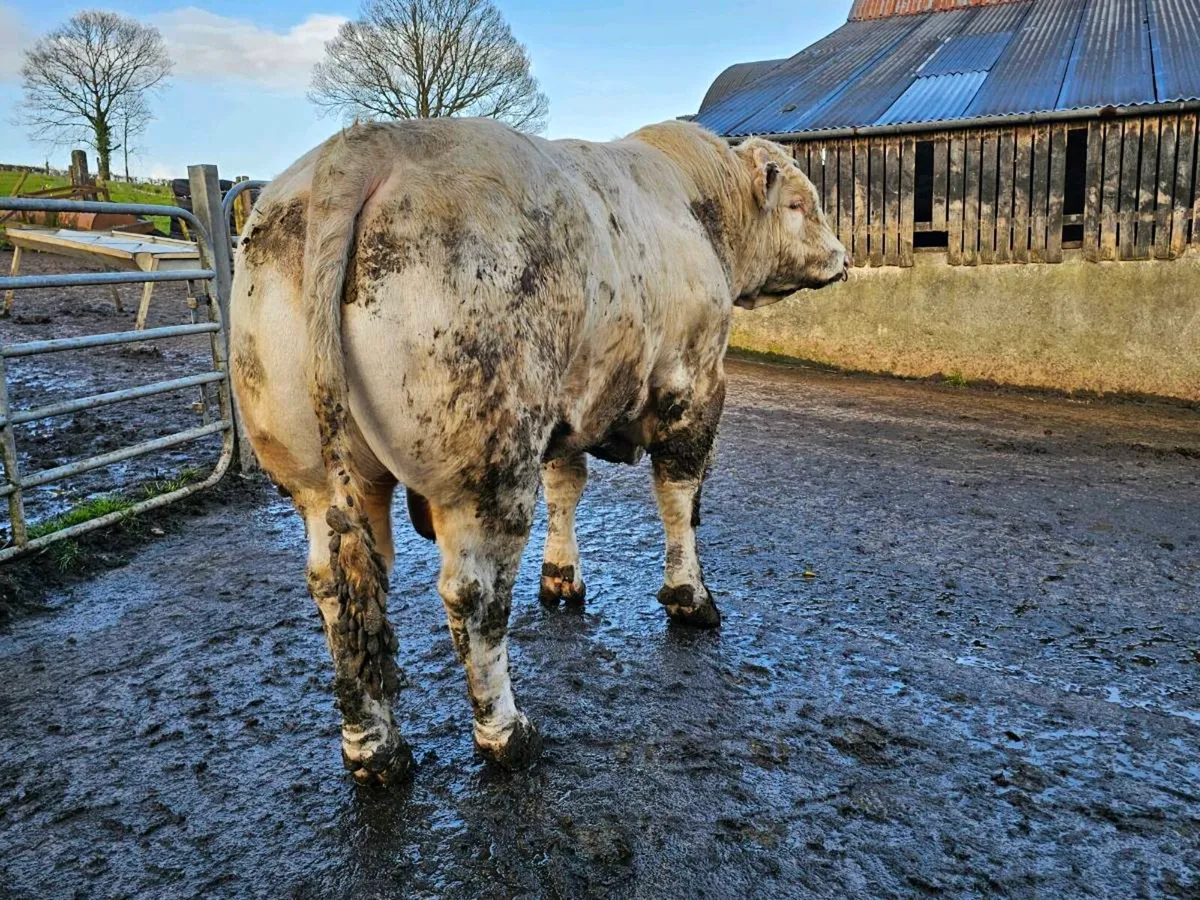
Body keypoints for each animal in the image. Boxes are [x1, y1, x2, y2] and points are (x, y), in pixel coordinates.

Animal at [229, 117, 848, 785]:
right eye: (800, 204)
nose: (843, 258)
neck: (698, 206)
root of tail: (364, 145)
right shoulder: (694, 383)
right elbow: (678, 498)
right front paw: (691, 598)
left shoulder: (565, 415)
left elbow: (566, 487)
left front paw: (561, 578)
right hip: (487, 463)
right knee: (473, 595)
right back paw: (507, 734)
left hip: (317, 476)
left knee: (338, 588)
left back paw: (373, 749)